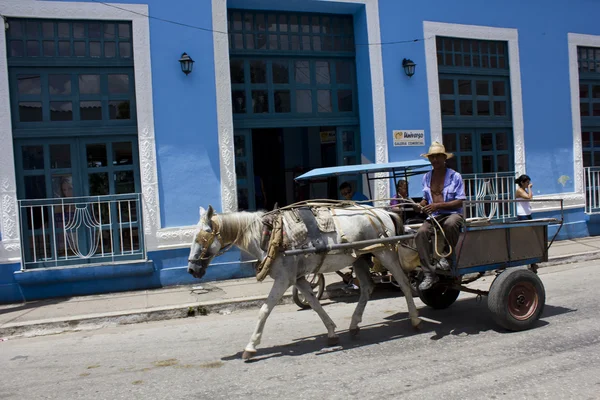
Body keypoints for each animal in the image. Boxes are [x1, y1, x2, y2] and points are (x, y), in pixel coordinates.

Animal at [189, 206, 422, 360]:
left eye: (201, 238)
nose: (191, 269)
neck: (269, 235)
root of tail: (383, 212)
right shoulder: (298, 278)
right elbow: (315, 304)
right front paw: (331, 332)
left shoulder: (284, 279)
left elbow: (264, 310)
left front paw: (251, 346)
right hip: (359, 258)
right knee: (366, 288)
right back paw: (354, 325)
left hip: (385, 252)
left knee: (403, 282)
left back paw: (414, 320)